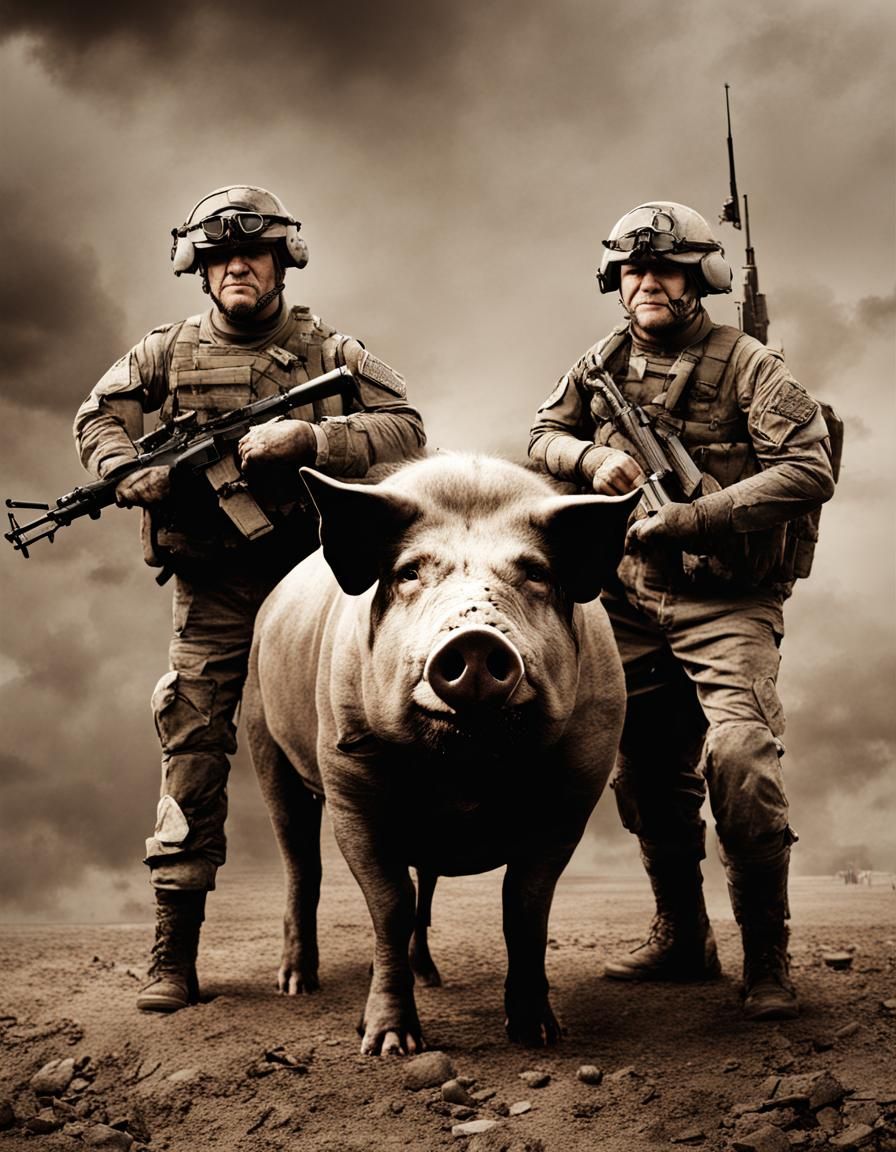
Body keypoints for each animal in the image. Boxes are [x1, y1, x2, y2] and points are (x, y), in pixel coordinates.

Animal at [243, 453, 640, 1055]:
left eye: (536, 573)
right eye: (409, 572)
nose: (475, 640)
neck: (463, 776)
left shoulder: (574, 794)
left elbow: (524, 904)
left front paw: (539, 1035)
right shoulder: (349, 786)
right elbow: (389, 903)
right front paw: (387, 1046)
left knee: (423, 883)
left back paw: (430, 976)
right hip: (262, 730)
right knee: (299, 859)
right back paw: (295, 985)